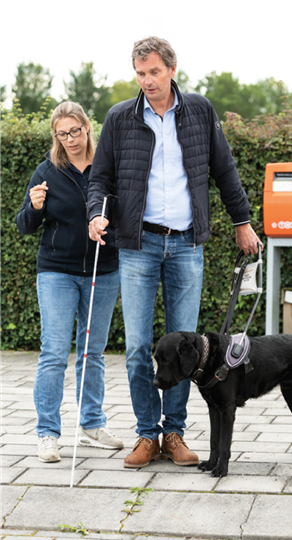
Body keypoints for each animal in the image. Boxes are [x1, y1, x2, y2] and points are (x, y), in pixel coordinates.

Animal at [153, 334, 292, 476]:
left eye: (167, 361)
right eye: (157, 360)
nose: (155, 383)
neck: (209, 359)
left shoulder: (227, 410)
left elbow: (224, 444)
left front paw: (221, 469)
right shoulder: (213, 408)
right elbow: (214, 441)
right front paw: (210, 464)